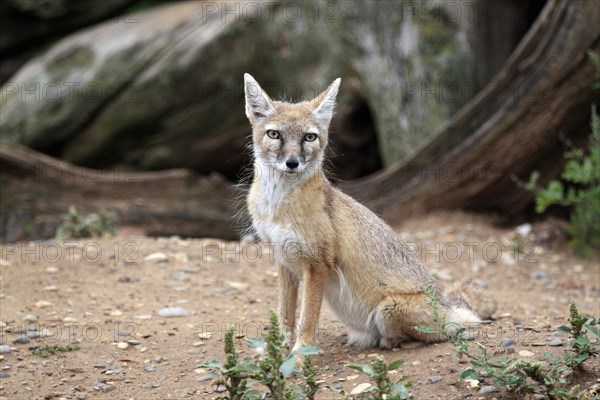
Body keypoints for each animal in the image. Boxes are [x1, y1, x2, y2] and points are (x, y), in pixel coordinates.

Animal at [241, 72, 494, 354]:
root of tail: (449, 310)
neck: (277, 207)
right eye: (274, 134)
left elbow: (306, 319)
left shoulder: (317, 264)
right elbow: (285, 313)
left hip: (387, 309)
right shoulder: (284, 260)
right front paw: (275, 352)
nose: (292, 163)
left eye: (309, 137)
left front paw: (300, 355)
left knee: (435, 335)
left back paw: (389, 341)